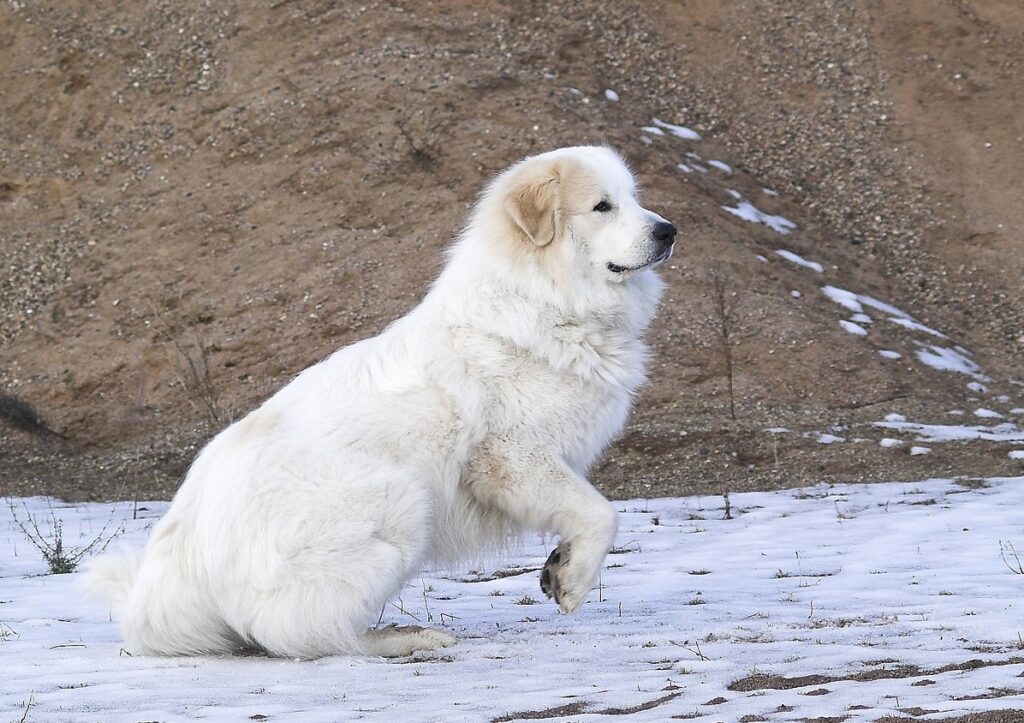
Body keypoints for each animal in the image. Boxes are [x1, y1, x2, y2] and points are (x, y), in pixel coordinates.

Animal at [86, 143, 671, 655]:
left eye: (634, 196)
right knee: (301, 634)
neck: (544, 300)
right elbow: (601, 513)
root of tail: (174, 575)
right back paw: (404, 639)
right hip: (401, 501)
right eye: (602, 206)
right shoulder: (512, 458)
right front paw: (573, 581)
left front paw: (559, 565)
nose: (669, 230)